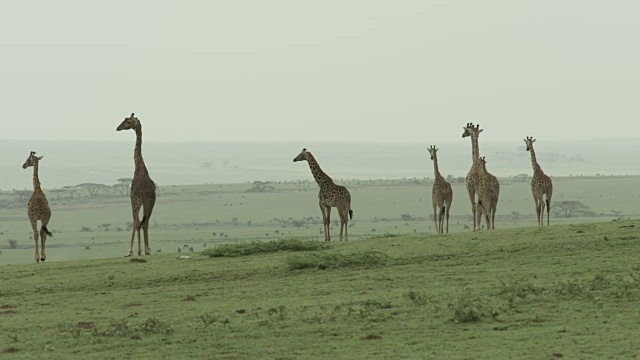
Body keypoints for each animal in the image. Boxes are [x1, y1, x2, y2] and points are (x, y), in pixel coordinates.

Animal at [115, 112, 156, 256]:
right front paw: (144, 250)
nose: (118, 128)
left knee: (136, 222)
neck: (140, 168)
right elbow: (143, 222)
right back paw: (147, 250)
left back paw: (134, 250)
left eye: (128, 122)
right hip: (150, 202)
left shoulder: (132, 198)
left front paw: (132, 250)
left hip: (137, 201)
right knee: (145, 222)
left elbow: (135, 222)